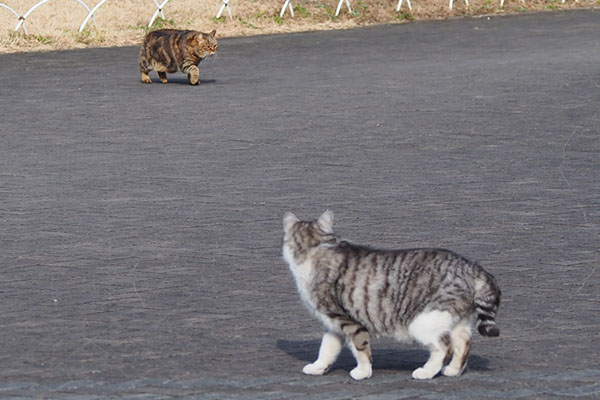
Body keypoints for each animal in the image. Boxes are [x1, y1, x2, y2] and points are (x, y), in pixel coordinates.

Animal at [284, 211, 500, 380]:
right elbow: (327, 349)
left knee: (444, 347)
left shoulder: (348, 320)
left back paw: (426, 372)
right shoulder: (332, 324)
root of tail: (470, 266)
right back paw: (453, 370)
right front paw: (318, 367)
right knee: (463, 342)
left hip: (424, 321)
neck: (315, 248)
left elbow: (361, 349)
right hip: (455, 319)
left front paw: (362, 372)